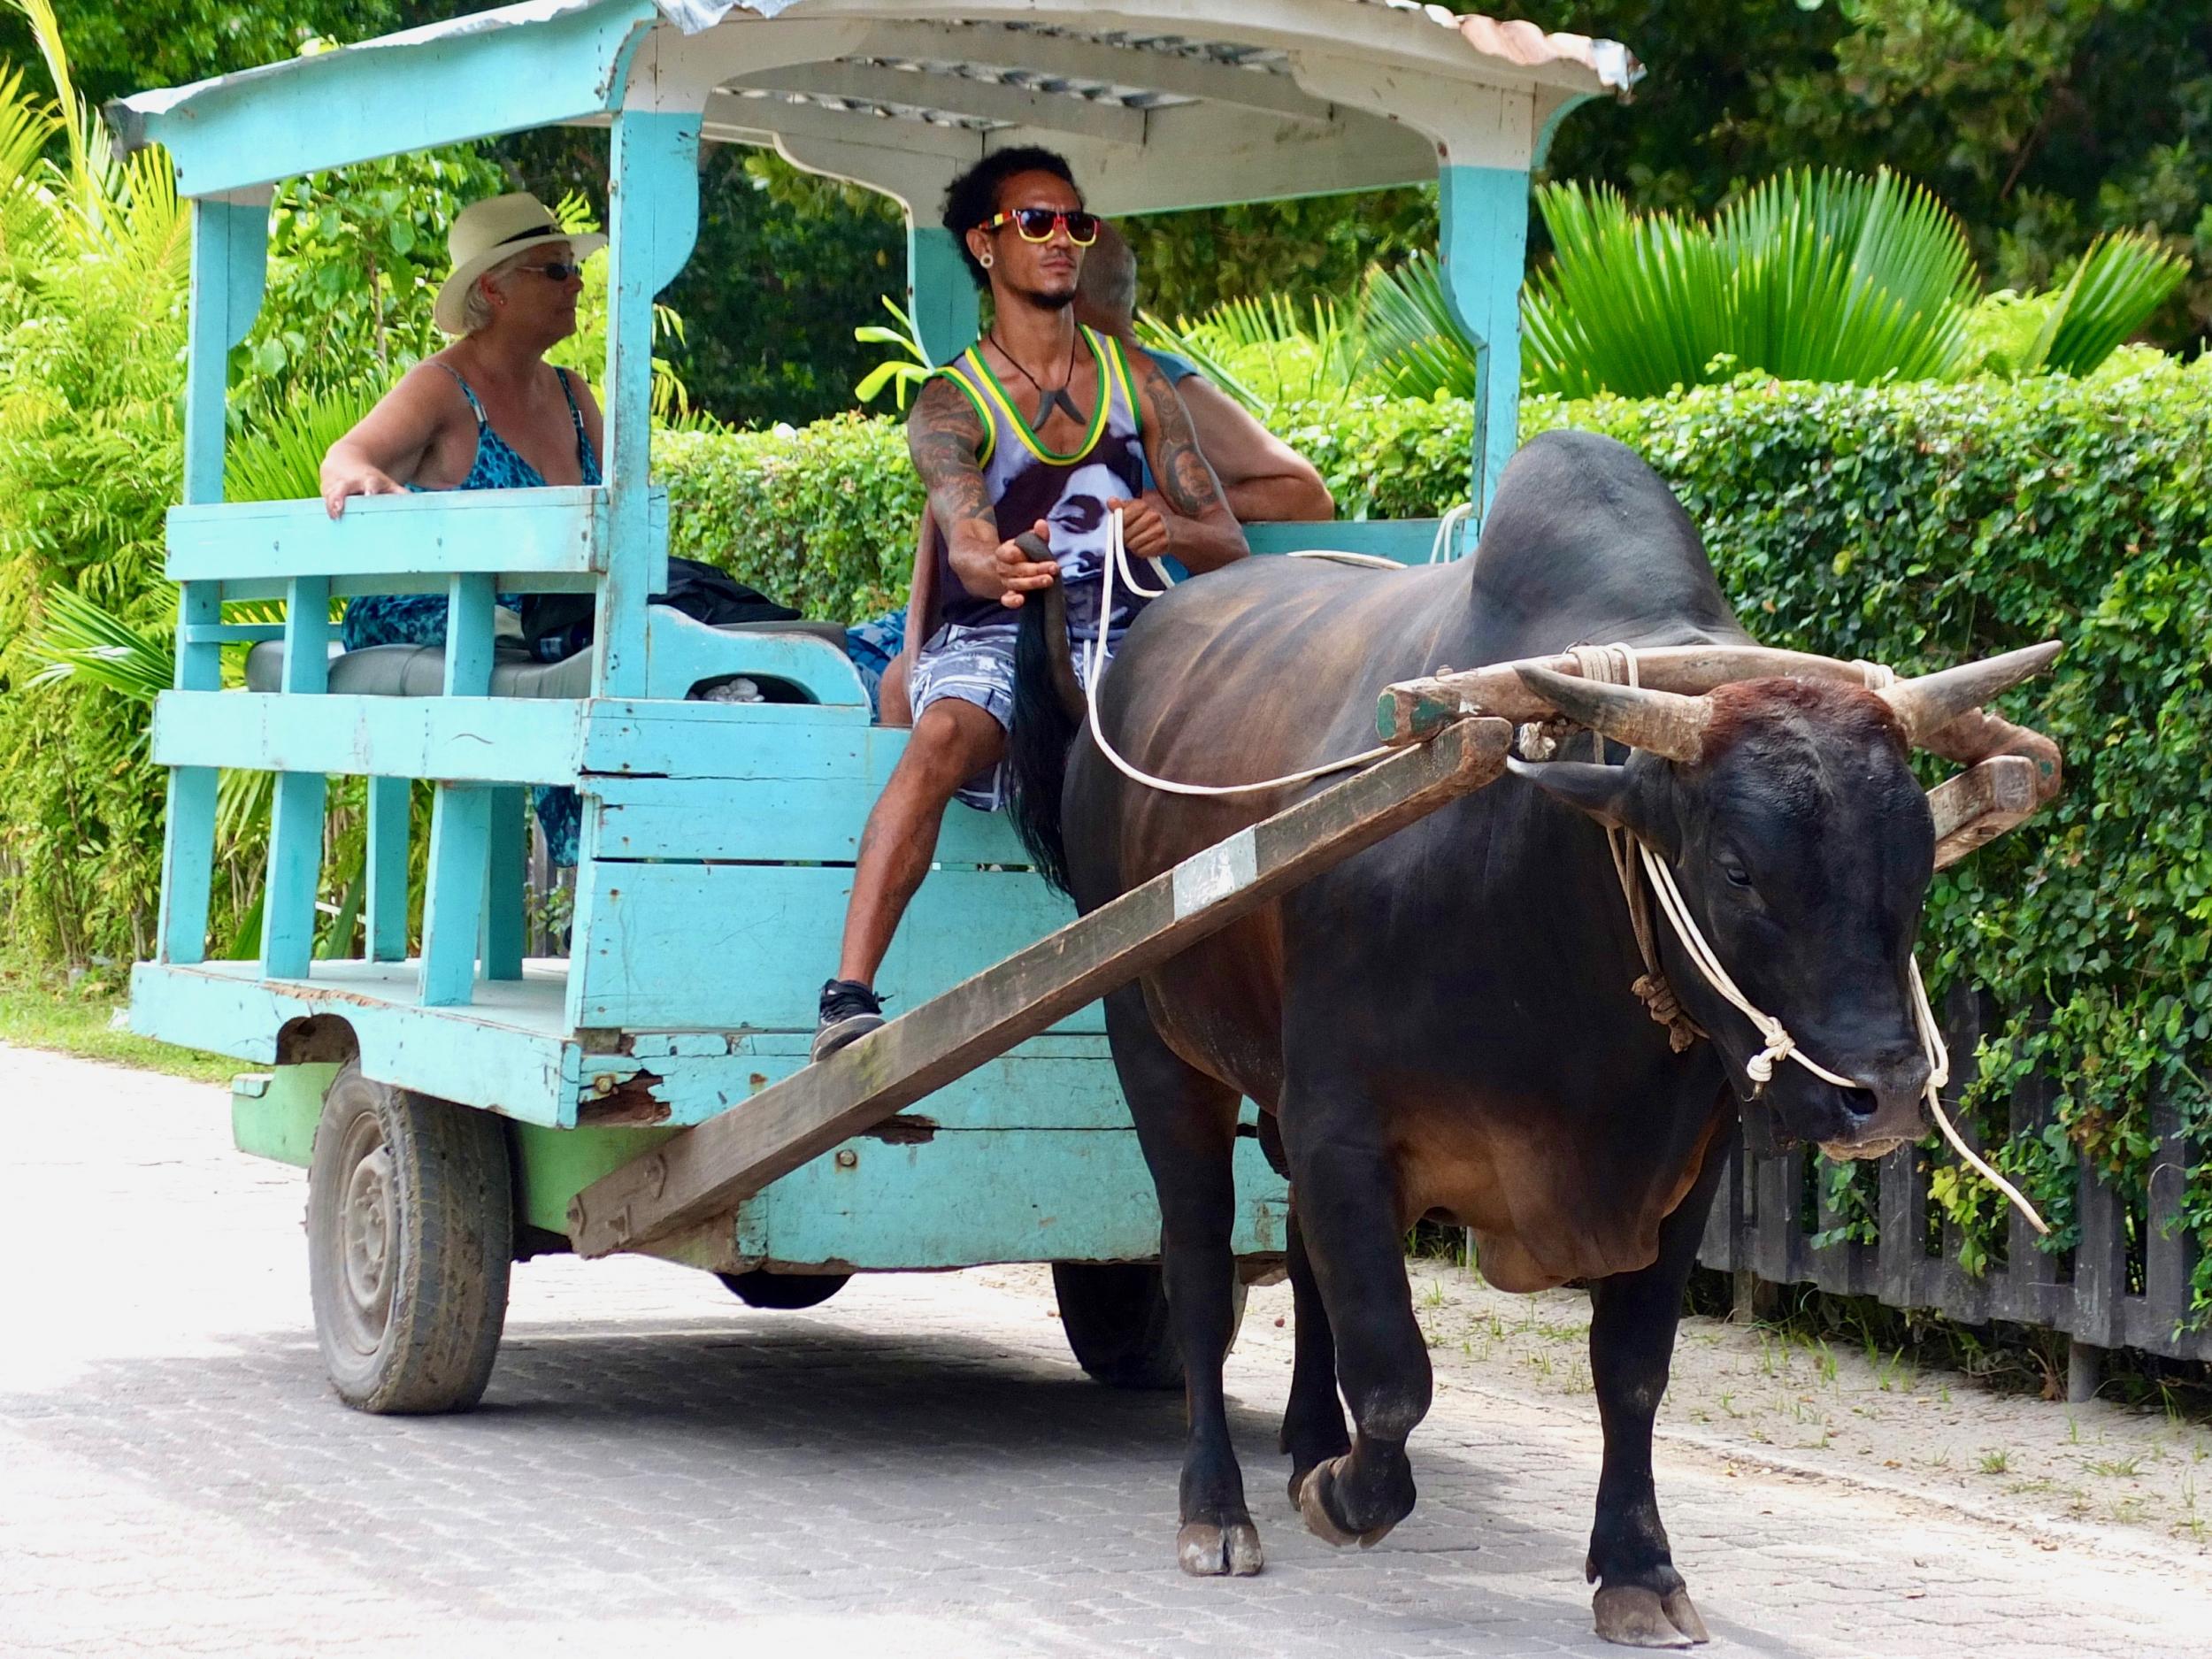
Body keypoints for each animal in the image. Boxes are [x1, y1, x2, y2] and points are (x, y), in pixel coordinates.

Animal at [1004, 431, 2053, 1655]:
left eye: (1919, 861)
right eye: (1736, 868)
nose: (1881, 1094)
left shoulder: (1685, 1163)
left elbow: (1631, 1371)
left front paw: (1637, 1567)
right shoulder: (1344, 1129)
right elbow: (1395, 1374)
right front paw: (1347, 1498)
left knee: (1302, 1264)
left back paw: (1309, 1440)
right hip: (1156, 1045)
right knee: (1198, 1265)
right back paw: (1219, 1508)